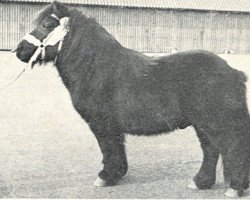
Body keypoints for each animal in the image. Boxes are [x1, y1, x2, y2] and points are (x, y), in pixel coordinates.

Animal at [15, 1, 250, 198]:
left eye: (47, 24)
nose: (19, 51)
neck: (94, 68)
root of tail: (234, 72)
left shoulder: (102, 124)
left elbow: (108, 149)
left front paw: (105, 177)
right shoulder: (111, 127)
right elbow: (116, 149)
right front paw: (116, 174)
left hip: (218, 124)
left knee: (233, 150)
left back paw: (234, 188)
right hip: (203, 124)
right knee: (211, 150)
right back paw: (200, 182)